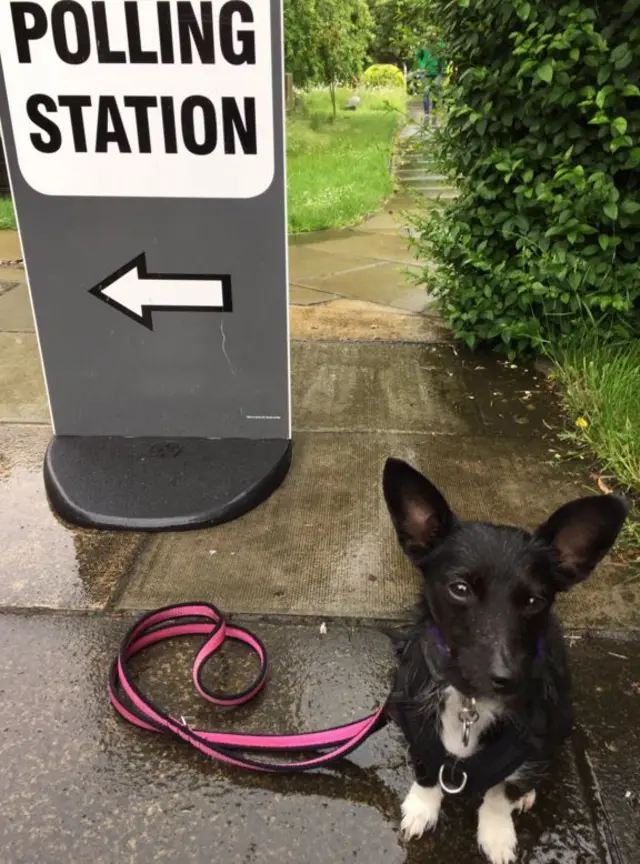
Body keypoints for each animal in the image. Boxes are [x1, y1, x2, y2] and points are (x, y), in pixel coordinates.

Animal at [382, 460, 628, 864]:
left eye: (534, 601)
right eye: (460, 589)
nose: (506, 678)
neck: (470, 701)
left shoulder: (534, 742)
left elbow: (502, 793)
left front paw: (497, 833)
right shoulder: (415, 723)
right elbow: (426, 768)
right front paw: (422, 807)